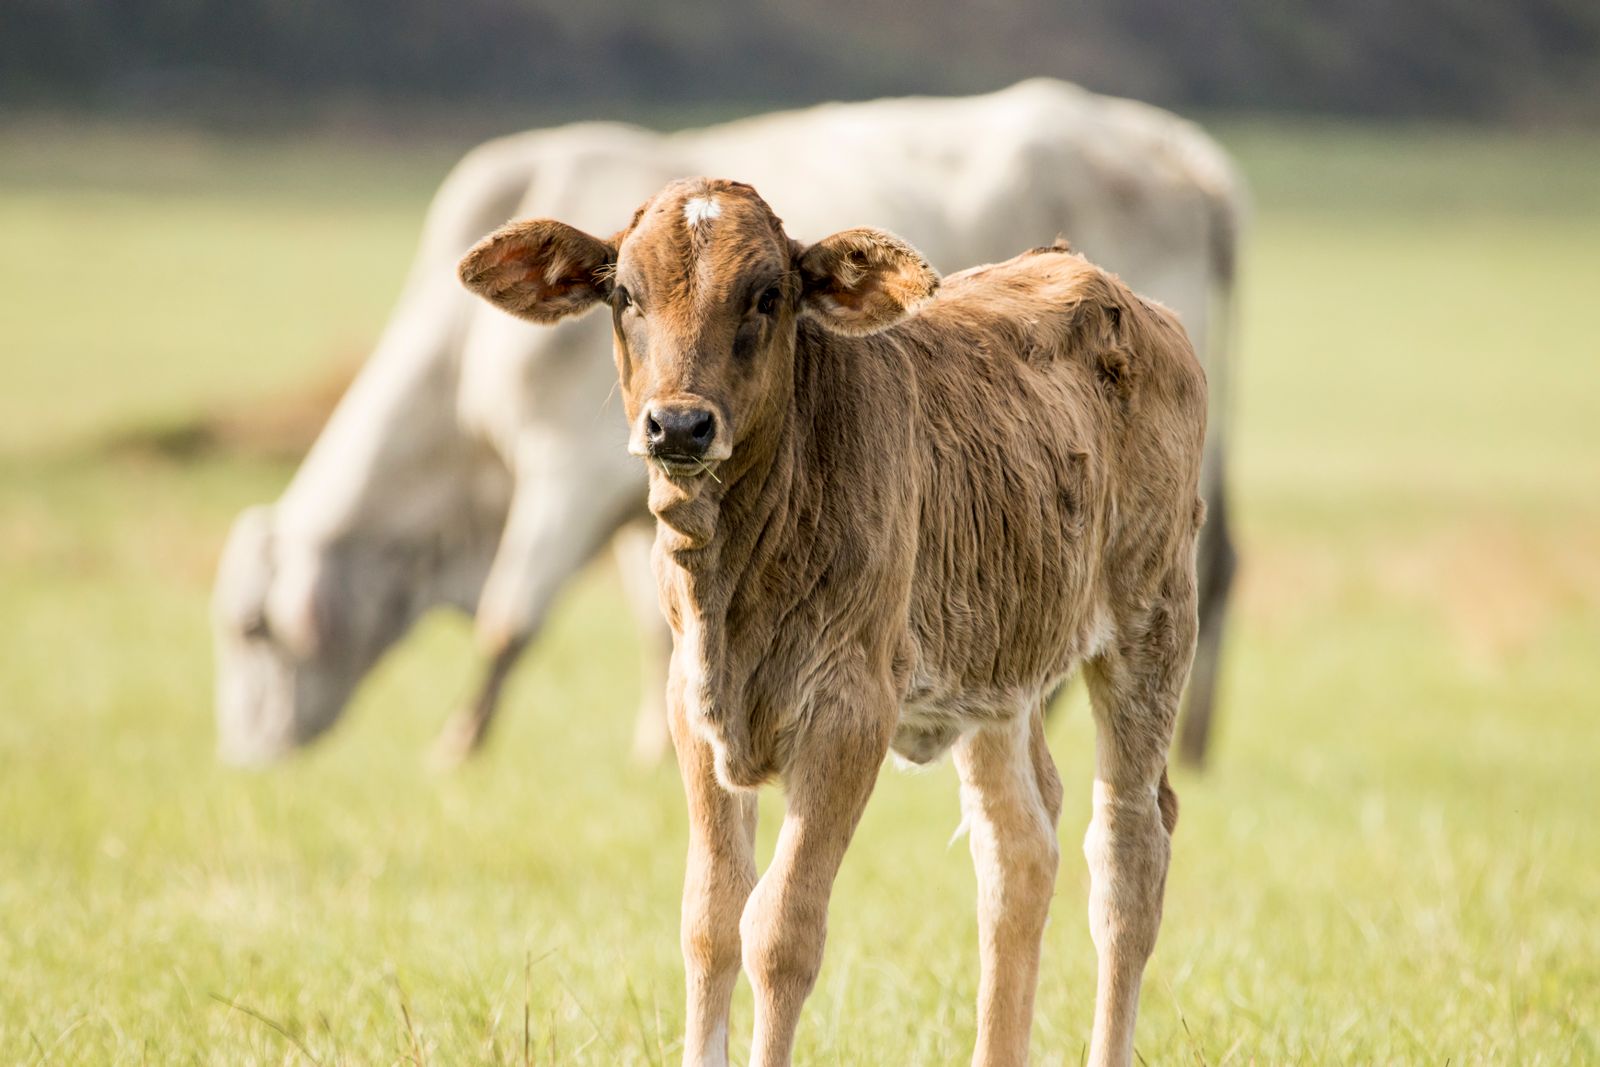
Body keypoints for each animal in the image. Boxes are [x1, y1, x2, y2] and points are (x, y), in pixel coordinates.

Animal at [212, 78, 1240, 769]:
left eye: (254, 629)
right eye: (620, 294)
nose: (241, 758)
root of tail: (1184, 153)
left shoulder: (565, 474)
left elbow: (508, 621)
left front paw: (455, 749)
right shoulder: (641, 491)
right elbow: (653, 628)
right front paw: (652, 744)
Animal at [457, 176, 1207, 1066]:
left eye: (767, 295)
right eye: (624, 294)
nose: (679, 425)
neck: (737, 577)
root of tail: (1125, 296)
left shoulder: (850, 715)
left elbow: (781, 930)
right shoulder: (691, 705)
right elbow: (710, 920)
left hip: (1153, 622)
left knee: (1129, 857)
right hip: (996, 669)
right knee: (1019, 844)